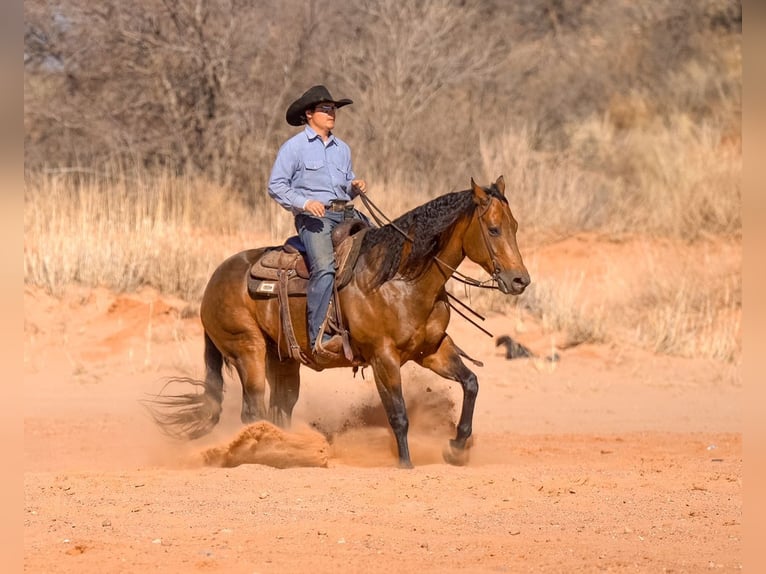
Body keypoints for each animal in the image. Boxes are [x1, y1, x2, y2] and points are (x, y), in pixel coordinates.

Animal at [148, 178, 536, 470]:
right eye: (493, 229)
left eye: (515, 226)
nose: (520, 280)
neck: (399, 279)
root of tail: (213, 280)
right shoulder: (383, 358)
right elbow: (398, 413)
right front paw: (405, 463)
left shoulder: (433, 350)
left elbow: (471, 383)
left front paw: (456, 447)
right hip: (248, 351)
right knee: (253, 411)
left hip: (282, 358)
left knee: (279, 409)